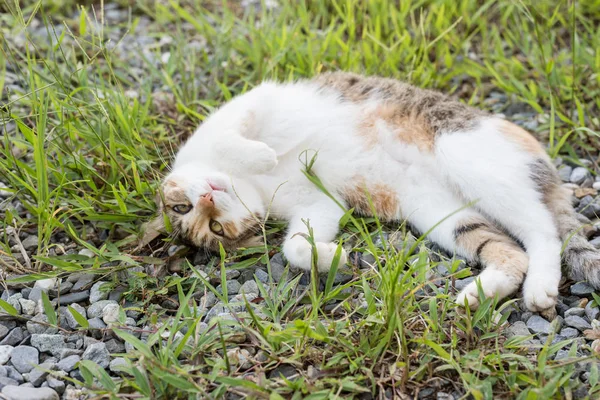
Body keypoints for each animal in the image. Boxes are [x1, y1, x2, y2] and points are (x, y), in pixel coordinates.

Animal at [149, 72, 600, 316]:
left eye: (182, 205)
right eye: (214, 229)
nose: (208, 199)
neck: (253, 185)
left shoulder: (251, 105)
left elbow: (234, 137)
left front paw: (261, 153)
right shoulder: (319, 203)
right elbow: (293, 246)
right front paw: (330, 256)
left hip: (466, 155)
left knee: (544, 231)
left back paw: (538, 287)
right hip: (439, 214)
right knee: (511, 250)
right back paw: (478, 295)